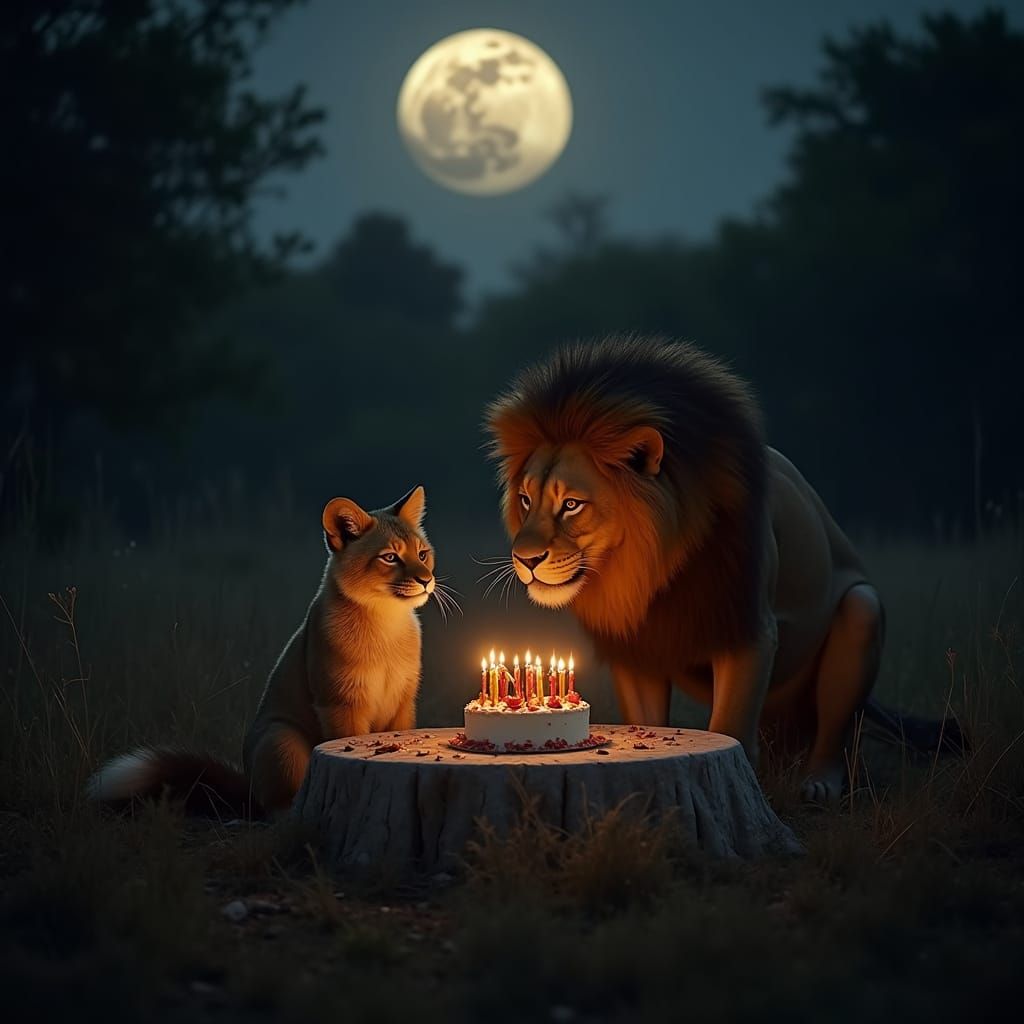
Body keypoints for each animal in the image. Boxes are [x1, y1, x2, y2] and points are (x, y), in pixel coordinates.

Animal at [88, 486, 440, 817]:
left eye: (422, 554)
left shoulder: (402, 702)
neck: (385, 632)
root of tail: (248, 791)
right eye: (390, 557)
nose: (426, 581)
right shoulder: (340, 703)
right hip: (282, 740)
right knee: (278, 809)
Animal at [486, 336, 943, 804]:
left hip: (861, 612)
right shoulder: (636, 649)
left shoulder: (749, 630)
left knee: (837, 733)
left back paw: (819, 784)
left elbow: (730, 727)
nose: (525, 560)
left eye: (572, 504)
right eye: (525, 500)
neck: (650, 573)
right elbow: (649, 719)